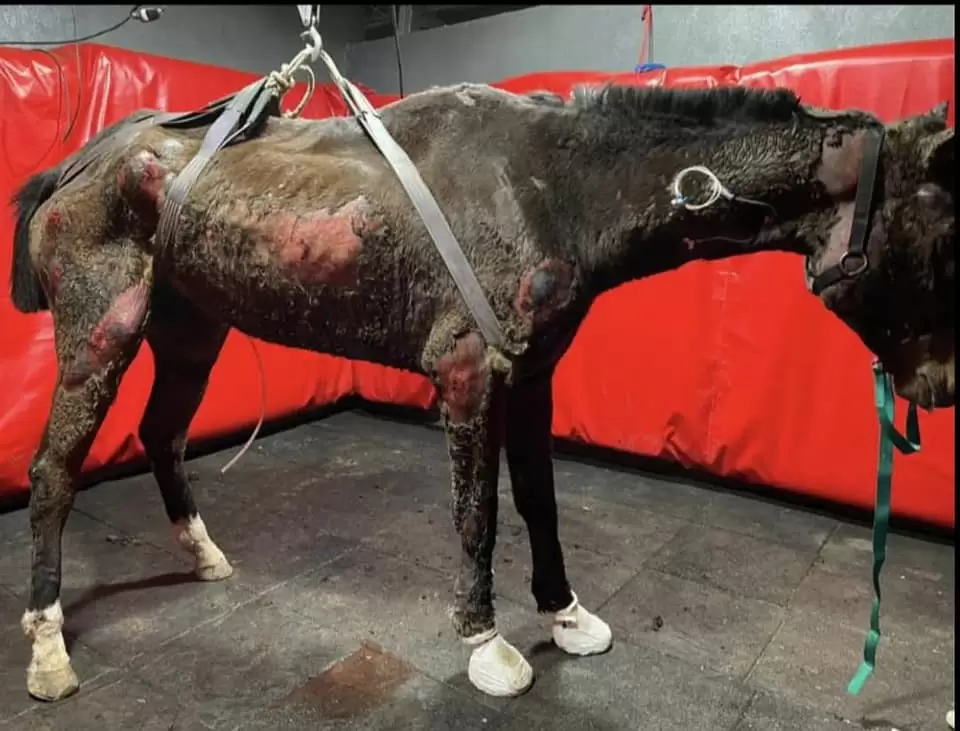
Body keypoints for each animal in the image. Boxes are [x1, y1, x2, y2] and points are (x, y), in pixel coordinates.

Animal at [7, 81, 954, 703]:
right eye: (942, 233)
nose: (938, 387)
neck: (551, 185)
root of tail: (78, 165)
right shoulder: (466, 371)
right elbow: (479, 511)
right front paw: (485, 639)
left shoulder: (531, 375)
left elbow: (538, 498)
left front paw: (566, 612)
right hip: (100, 330)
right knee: (54, 471)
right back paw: (48, 642)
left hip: (192, 330)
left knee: (162, 434)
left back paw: (202, 552)